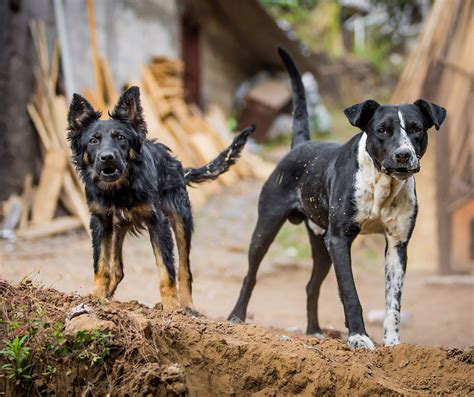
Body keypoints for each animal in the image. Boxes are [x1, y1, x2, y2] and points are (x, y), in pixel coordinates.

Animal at [66, 86, 256, 310]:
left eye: (120, 138)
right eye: (93, 141)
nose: (107, 157)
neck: (119, 190)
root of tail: (176, 164)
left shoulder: (158, 223)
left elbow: (167, 271)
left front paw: (171, 308)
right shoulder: (100, 221)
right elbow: (101, 265)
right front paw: (95, 298)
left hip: (181, 219)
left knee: (184, 270)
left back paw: (188, 306)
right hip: (118, 227)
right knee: (117, 269)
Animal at [228, 49, 446, 350]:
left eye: (417, 129)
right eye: (382, 130)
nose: (403, 155)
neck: (381, 183)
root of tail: (300, 145)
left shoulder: (397, 245)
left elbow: (394, 303)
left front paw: (392, 344)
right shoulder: (340, 239)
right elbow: (350, 293)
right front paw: (359, 337)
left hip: (321, 244)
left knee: (311, 286)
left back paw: (314, 331)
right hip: (267, 228)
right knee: (251, 275)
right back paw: (236, 317)